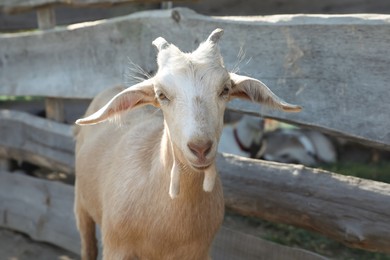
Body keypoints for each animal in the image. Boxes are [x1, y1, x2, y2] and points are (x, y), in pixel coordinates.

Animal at [74, 29, 302, 260]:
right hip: (80, 203)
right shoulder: (116, 247)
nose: (200, 148)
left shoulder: (199, 252)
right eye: (161, 94)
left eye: (225, 89)